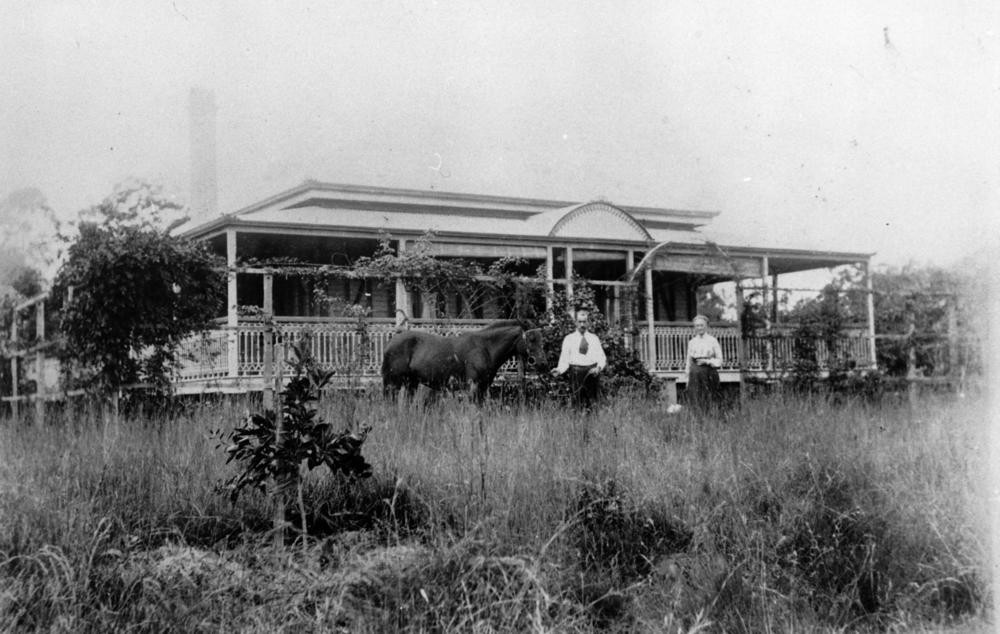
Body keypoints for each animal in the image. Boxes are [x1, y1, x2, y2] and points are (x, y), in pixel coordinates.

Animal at [380, 318, 548, 398]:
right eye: (531, 338)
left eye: (542, 339)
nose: (542, 363)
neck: (485, 347)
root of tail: (389, 343)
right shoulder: (473, 386)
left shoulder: (483, 387)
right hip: (393, 383)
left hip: (411, 383)